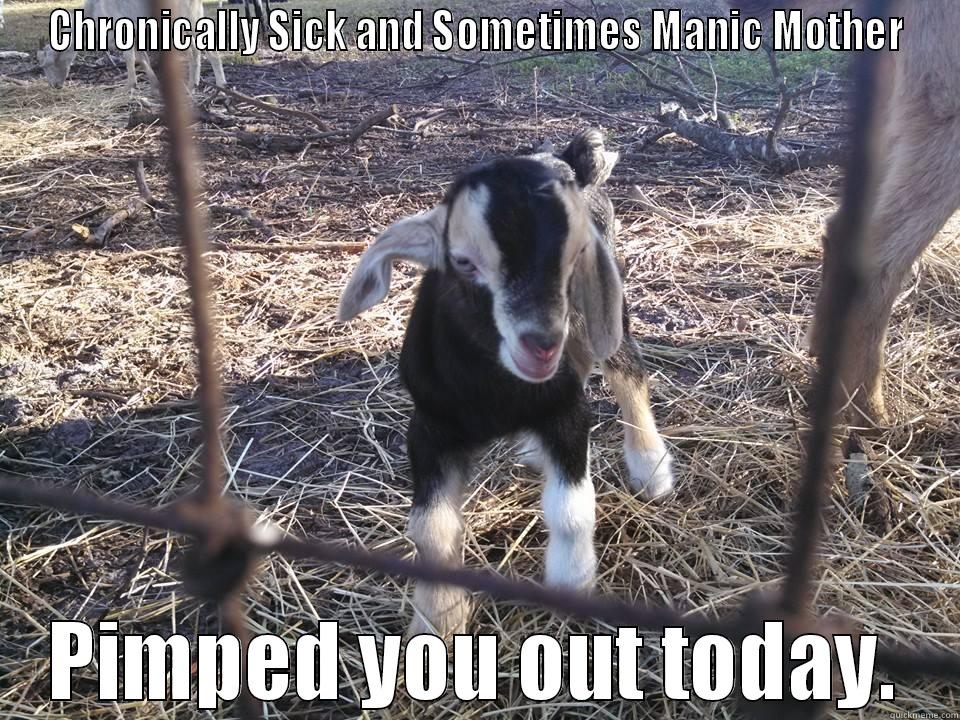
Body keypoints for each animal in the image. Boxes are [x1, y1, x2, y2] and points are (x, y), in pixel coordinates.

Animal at [37, 0, 226, 91]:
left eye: (47, 65)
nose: (54, 86)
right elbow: (142, 59)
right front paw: (154, 83)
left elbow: (129, 58)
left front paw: (130, 85)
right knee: (195, 52)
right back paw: (193, 84)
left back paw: (221, 84)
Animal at [338, 130, 675, 636]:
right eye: (463, 261)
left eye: (575, 254)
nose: (542, 343)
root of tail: (570, 159)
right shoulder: (430, 427)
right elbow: (430, 531)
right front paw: (437, 619)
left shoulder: (565, 412)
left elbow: (571, 509)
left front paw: (571, 582)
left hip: (601, 320)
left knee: (627, 370)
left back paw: (650, 467)